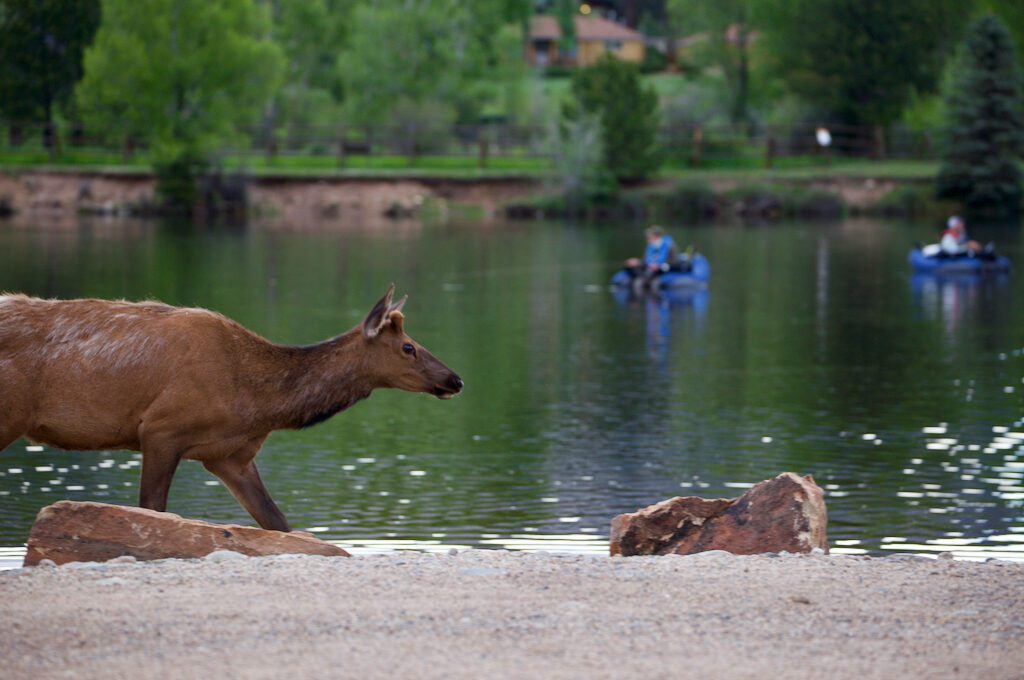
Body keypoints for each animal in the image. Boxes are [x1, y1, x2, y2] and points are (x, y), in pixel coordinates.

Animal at [0, 284, 460, 532]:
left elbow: (278, 522)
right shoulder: (160, 429)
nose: (455, 379)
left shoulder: (229, 455)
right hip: (8, 416)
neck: (257, 403)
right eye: (408, 347)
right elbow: (151, 509)